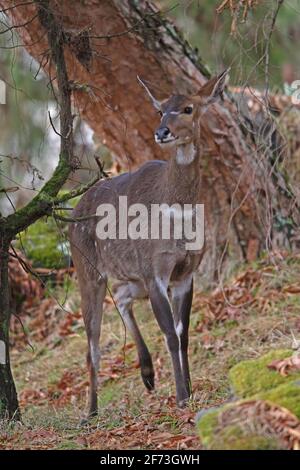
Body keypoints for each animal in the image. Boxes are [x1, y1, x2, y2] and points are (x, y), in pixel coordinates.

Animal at [69, 68, 230, 416]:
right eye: (160, 110)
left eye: (188, 108)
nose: (162, 132)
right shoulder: (154, 270)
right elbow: (169, 333)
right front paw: (181, 396)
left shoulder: (185, 273)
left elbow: (183, 333)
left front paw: (190, 390)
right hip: (88, 271)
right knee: (93, 343)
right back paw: (91, 412)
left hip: (131, 277)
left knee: (120, 297)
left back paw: (147, 375)